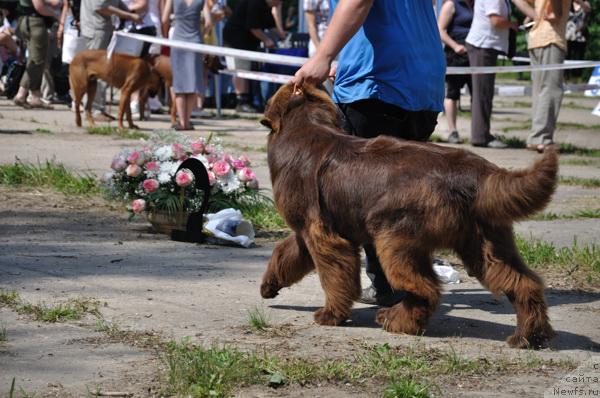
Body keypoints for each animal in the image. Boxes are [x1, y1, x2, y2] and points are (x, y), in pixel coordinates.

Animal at [260, 83, 560, 348]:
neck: (305, 127)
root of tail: (477, 172)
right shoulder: (306, 231)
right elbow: (284, 254)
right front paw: (269, 286)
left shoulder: (323, 235)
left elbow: (333, 277)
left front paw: (330, 315)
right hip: (486, 242)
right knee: (523, 283)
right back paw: (529, 336)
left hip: (395, 238)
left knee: (425, 289)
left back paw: (396, 319)